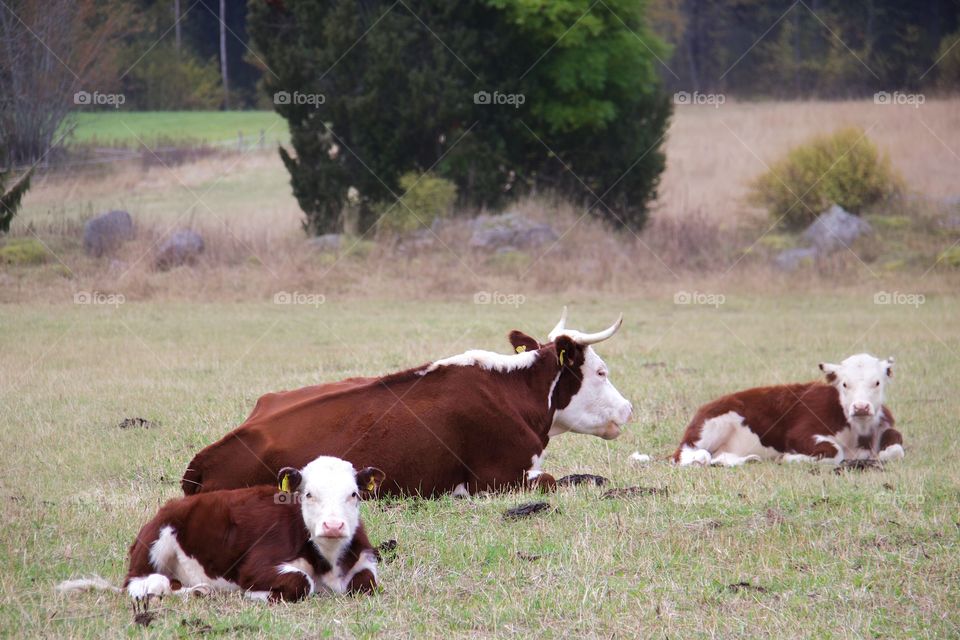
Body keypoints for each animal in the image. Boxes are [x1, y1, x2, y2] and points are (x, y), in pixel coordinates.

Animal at [57, 458, 382, 604]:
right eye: (309, 494)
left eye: (353, 494)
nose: (333, 525)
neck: (327, 562)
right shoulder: (255, 566)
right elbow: (299, 582)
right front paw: (259, 595)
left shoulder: (364, 560)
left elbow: (365, 582)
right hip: (154, 543)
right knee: (143, 585)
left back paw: (199, 589)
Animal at [181, 308, 632, 496]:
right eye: (600, 372)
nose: (628, 408)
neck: (512, 395)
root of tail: (204, 458)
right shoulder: (499, 478)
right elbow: (562, 479)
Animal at [676, 352, 900, 468]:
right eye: (845, 384)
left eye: (877, 382)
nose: (861, 407)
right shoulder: (799, 433)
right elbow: (834, 450)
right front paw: (789, 457)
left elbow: (896, 449)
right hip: (711, 427)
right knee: (688, 455)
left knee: (719, 458)